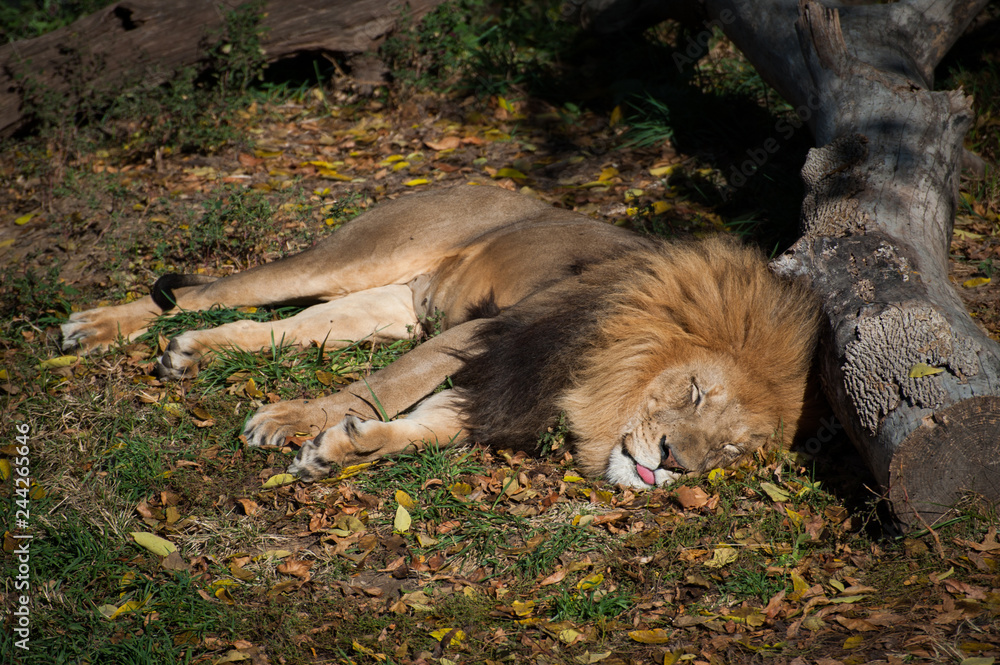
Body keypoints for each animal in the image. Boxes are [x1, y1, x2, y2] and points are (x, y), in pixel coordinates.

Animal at [61, 185, 820, 488]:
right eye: (693, 393)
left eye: (730, 449)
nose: (672, 463)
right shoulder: (495, 333)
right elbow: (383, 384)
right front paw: (293, 420)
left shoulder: (503, 388)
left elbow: (426, 425)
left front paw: (339, 449)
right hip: (353, 255)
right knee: (203, 292)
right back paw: (95, 327)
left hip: (388, 306)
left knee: (275, 329)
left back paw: (190, 352)